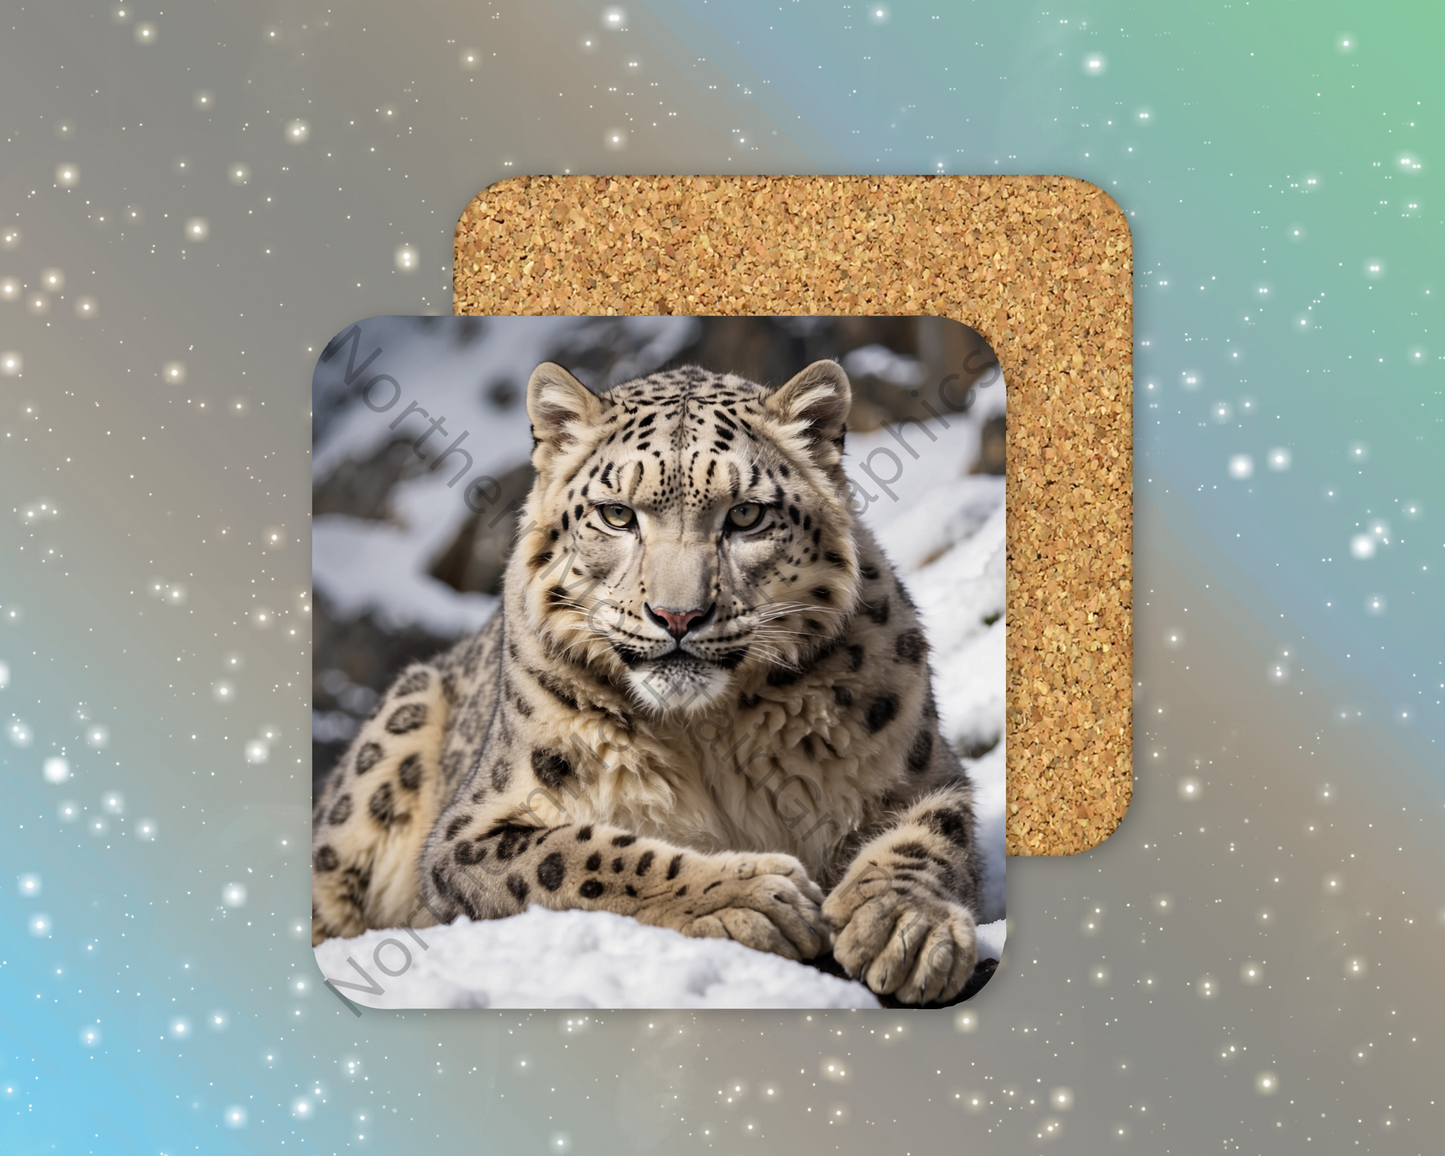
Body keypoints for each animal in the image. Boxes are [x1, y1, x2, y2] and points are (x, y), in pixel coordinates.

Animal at [312, 358, 985, 1005]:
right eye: (616, 514)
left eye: (746, 514)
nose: (678, 615)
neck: (708, 736)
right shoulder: (473, 830)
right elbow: (578, 854)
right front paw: (749, 894)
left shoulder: (922, 769)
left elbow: (931, 836)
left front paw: (904, 927)